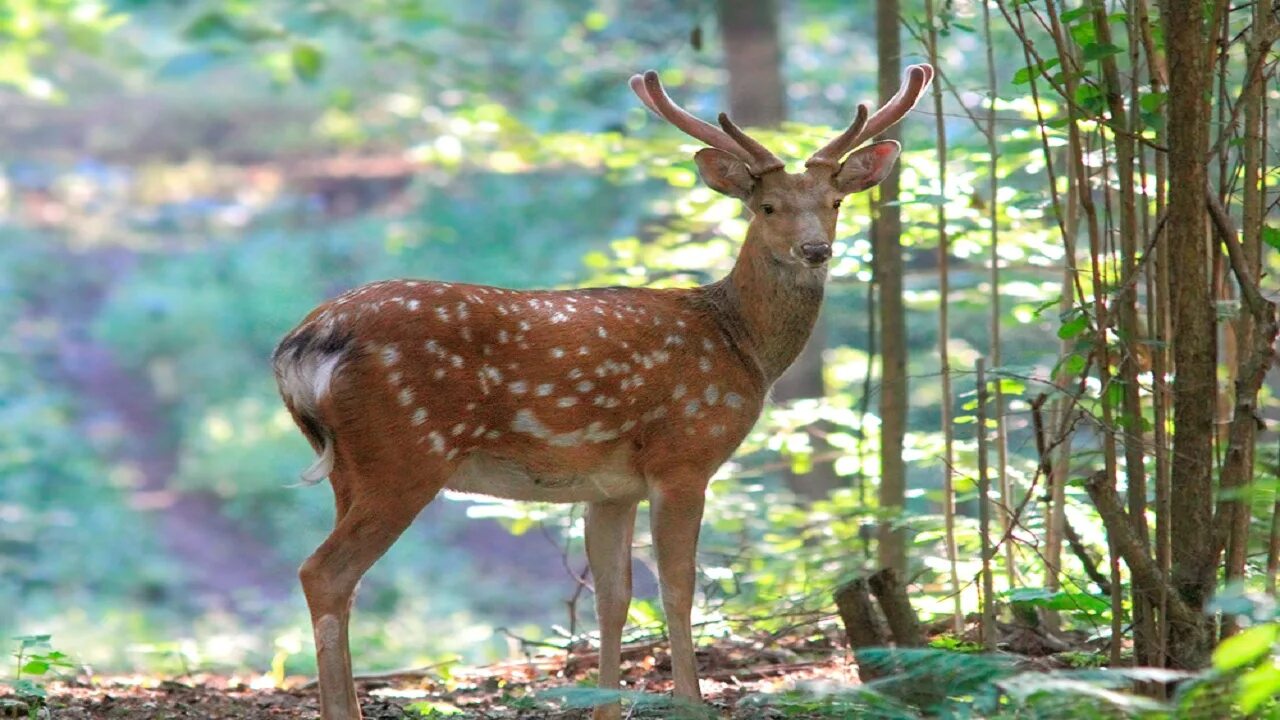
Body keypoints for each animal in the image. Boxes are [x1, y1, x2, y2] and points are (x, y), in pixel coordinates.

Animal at [272, 64, 931, 712]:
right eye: (766, 206)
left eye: (835, 201)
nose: (815, 249)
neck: (740, 341)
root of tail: (303, 344)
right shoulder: (683, 456)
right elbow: (678, 588)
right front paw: (690, 702)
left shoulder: (611, 488)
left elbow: (612, 596)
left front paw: (606, 705)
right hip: (406, 452)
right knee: (323, 572)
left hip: (348, 468)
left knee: (341, 580)